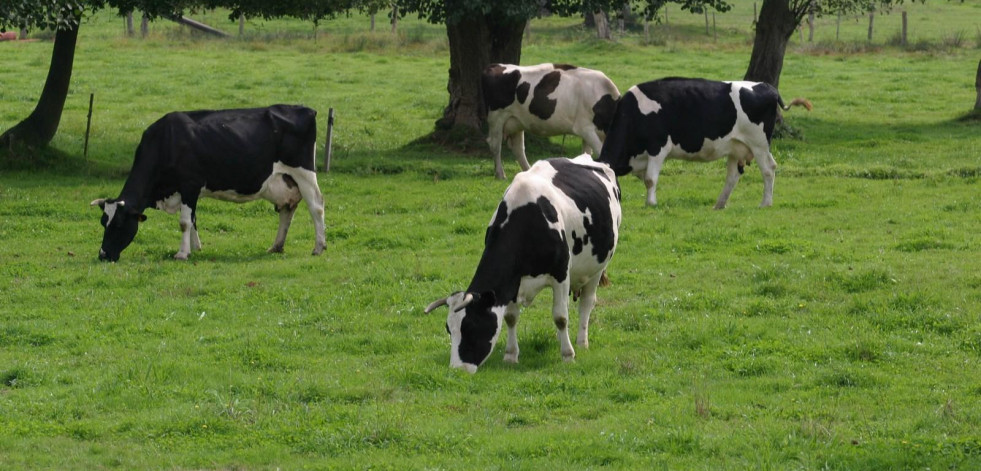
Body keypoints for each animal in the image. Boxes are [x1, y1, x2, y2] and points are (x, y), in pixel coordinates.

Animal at [90, 103, 326, 264]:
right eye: (103, 223)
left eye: (118, 225)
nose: (103, 255)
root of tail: (305, 109)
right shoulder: (189, 192)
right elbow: (193, 219)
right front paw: (195, 249)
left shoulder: (189, 185)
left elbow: (184, 222)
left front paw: (182, 253)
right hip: (286, 182)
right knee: (287, 210)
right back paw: (276, 247)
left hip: (303, 172)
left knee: (316, 206)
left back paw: (319, 247)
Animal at [422, 155, 620, 372]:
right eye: (449, 329)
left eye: (471, 327)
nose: (458, 370)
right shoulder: (512, 282)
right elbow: (510, 317)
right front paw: (510, 355)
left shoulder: (561, 273)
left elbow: (560, 317)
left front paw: (568, 355)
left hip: (597, 267)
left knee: (586, 303)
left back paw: (581, 342)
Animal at [482, 63, 620, 180]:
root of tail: (495, 65)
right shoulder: (585, 129)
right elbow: (600, 152)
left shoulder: (588, 133)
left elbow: (587, 155)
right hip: (496, 117)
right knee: (495, 145)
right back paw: (500, 174)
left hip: (516, 121)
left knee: (518, 148)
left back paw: (528, 170)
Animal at [596, 77, 812, 208]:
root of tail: (767, 86)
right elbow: (646, 179)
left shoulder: (658, 147)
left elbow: (650, 179)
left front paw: (651, 204)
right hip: (736, 147)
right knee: (732, 176)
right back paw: (719, 205)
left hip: (758, 144)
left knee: (768, 169)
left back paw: (765, 203)